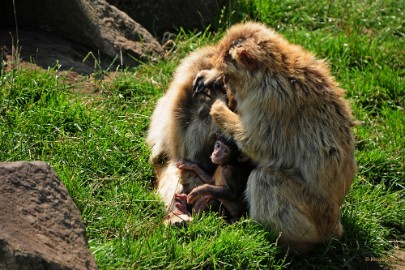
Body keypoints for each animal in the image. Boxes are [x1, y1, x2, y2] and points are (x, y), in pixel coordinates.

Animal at [147, 21, 356, 253]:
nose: (227, 92)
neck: (273, 70)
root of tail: (335, 225)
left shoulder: (269, 100)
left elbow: (256, 144)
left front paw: (218, 107)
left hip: (317, 215)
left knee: (265, 179)